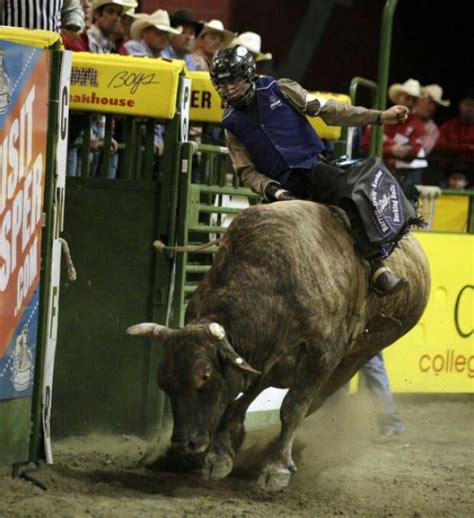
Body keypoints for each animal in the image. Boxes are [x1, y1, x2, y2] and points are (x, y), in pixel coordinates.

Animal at [128, 201, 432, 494]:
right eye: (164, 383)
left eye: (204, 376)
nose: (185, 444)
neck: (273, 286)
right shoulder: (261, 357)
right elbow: (242, 395)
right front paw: (220, 455)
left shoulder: (321, 356)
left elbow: (293, 408)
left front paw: (275, 469)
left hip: (355, 358)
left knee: (314, 400)